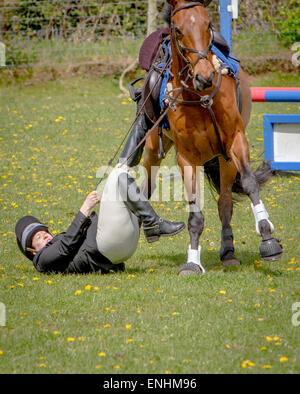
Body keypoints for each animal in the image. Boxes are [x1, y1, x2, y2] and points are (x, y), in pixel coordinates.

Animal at [141, 0, 282, 274]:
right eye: (178, 29)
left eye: (208, 24)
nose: (205, 76)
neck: (199, 98)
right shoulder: (187, 158)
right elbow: (195, 213)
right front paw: (192, 262)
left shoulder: (235, 141)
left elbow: (249, 184)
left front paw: (267, 238)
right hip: (154, 146)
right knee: (147, 183)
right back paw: (152, 228)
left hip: (225, 160)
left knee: (225, 203)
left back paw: (228, 252)